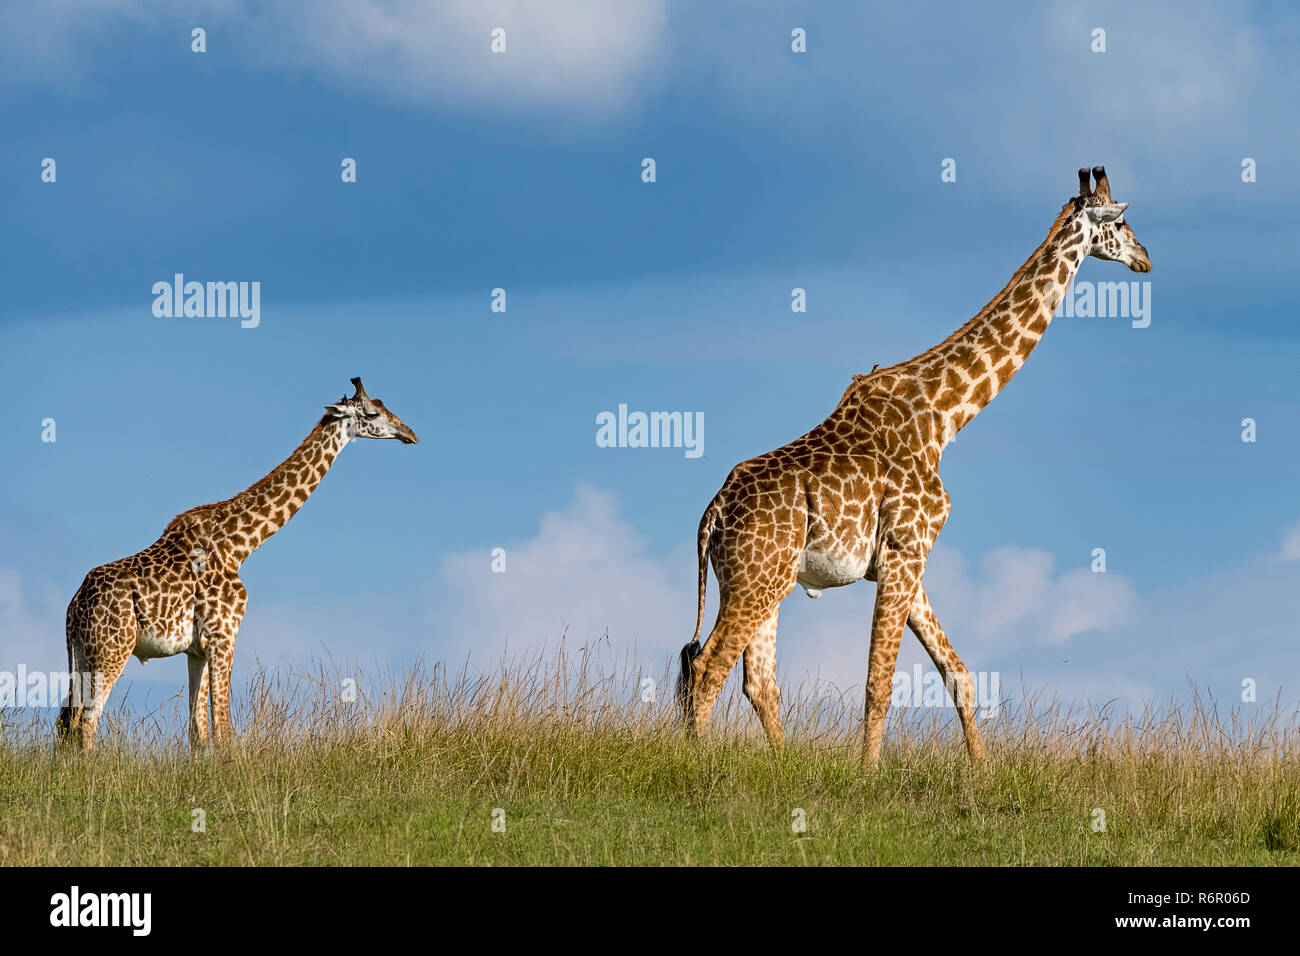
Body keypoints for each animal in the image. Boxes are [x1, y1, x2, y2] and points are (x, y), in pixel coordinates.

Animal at [57, 377, 416, 749]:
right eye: (373, 413)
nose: (410, 433)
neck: (240, 544)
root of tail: (73, 607)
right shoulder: (223, 635)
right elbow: (222, 727)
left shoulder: (197, 649)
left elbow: (197, 729)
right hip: (112, 649)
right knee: (87, 721)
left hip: (83, 653)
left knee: (66, 720)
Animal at [676, 166, 1154, 770]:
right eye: (1121, 221)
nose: (1145, 258)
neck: (944, 417)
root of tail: (711, 514)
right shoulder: (905, 551)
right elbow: (880, 682)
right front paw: (868, 776)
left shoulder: (907, 558)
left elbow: (959, 675)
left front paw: (982, 775)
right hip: (755, 579)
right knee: (707, 665)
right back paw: (696, 764)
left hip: (764, 579)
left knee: (754, 680)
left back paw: (780, 769)